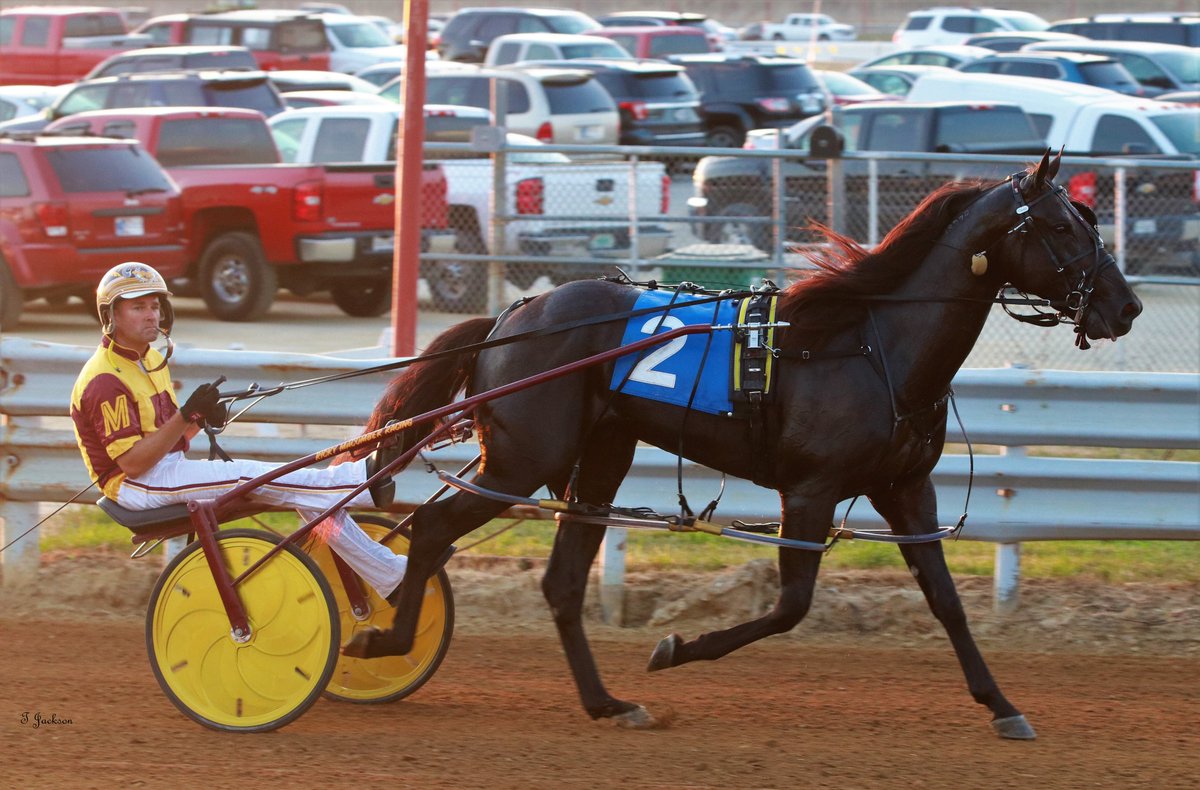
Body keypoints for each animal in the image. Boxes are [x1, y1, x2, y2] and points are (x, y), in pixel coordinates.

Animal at [345, 153, 1142, 739]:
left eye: (1085, 218)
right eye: (1061, 227)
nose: (1127, 306)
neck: (872, 343)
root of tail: (515, 314)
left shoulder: (906, 489)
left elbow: (946, 601)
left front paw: (1002, 704)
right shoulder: (811, 491)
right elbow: (790, 606)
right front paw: (676, 649)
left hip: (599, 460)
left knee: (560, 582)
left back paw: (607, 702)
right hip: (520, 460)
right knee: (432, 530)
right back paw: (382, 638)